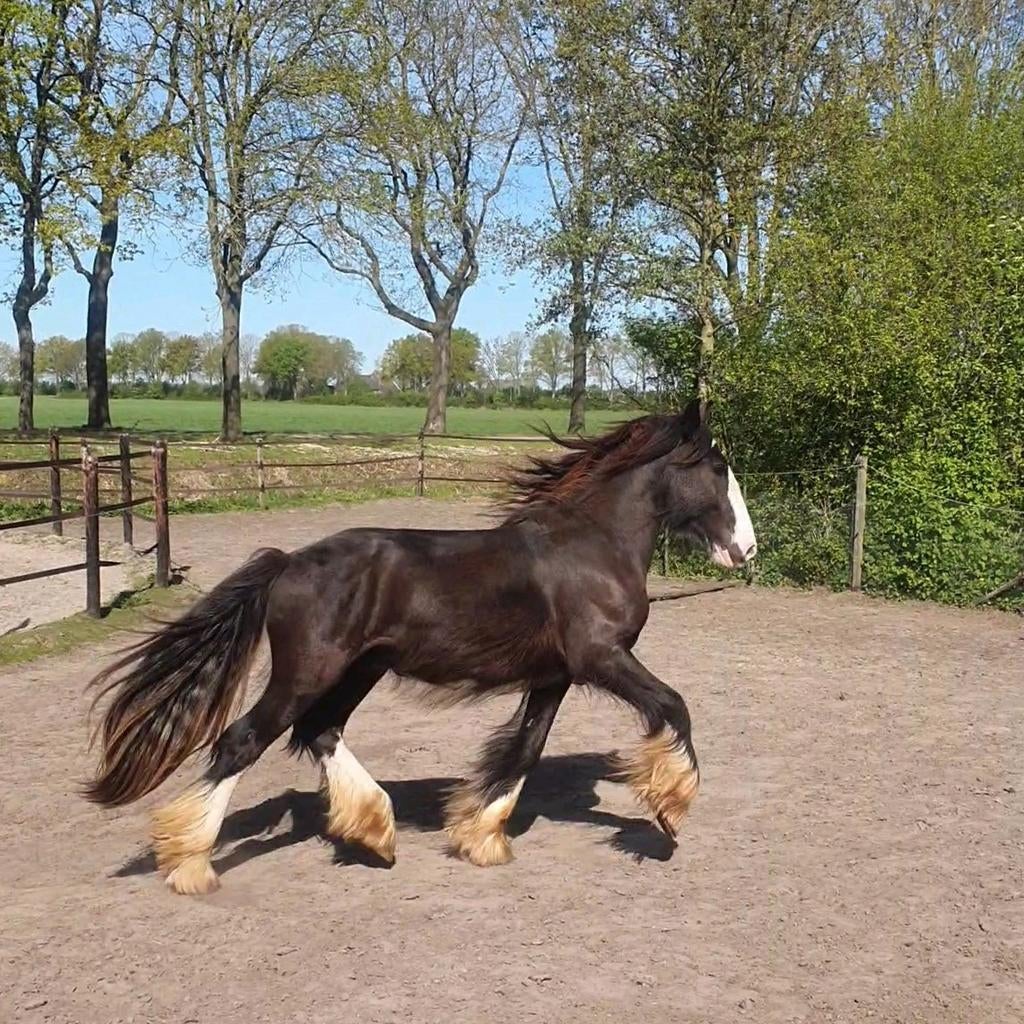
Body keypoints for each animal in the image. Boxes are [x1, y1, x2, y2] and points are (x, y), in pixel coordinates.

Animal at [85, 400, 756, 894]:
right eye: (717, 469)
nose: (746, 549)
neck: (592, 545)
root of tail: (288, 563)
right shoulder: (602, 657)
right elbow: (673, 706)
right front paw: (669, 806)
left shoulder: (555, 675)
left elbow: (524, 750)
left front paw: (481, 838)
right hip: (308, 672)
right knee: (243, 740)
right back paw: (190, 864)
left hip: (358, 670)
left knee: (319, 732)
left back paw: (375, 831)